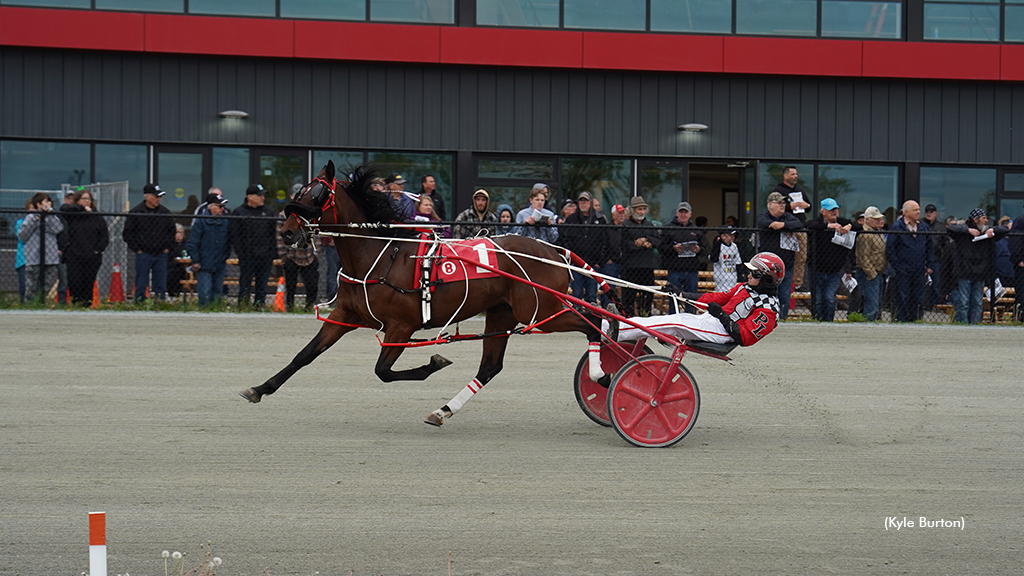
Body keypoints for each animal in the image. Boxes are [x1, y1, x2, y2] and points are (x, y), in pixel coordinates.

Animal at [239, 161, 606, 426]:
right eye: (301, 190)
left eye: (316, 194)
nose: (287, 232)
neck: (379, 254)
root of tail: (552, 250)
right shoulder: (345, 314)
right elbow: (305, 355)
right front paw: (259, 388)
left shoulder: (402, 325)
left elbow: (383, 372)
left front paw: (434, 361)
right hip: (502, 313)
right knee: (490, 367)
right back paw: (443, 410)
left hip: (541, 311)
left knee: (593, 324)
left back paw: (601, 373)